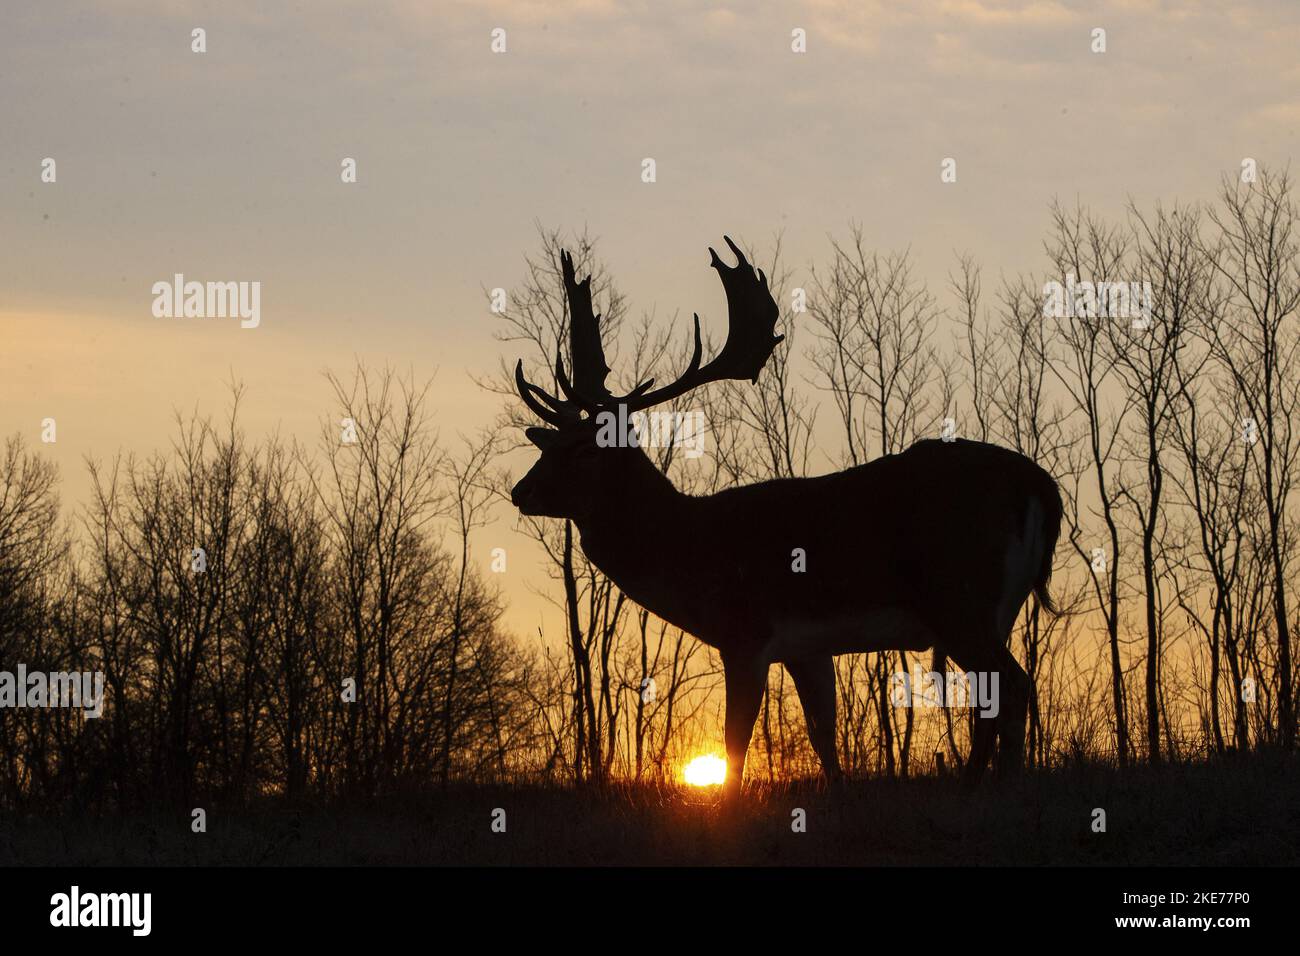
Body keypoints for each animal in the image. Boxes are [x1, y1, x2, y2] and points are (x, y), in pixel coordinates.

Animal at [504, 235, 1055, 796]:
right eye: (549, 443)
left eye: (584, 450)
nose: (521, 491)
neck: (690, 548)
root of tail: (1042, 488)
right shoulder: (806, 648)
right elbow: (824, 734)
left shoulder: (745, 632)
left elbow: (735, 743)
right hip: (995, 608)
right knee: (998, 694)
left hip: (960, 596)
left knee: (1014, 685)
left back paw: (991, 787)